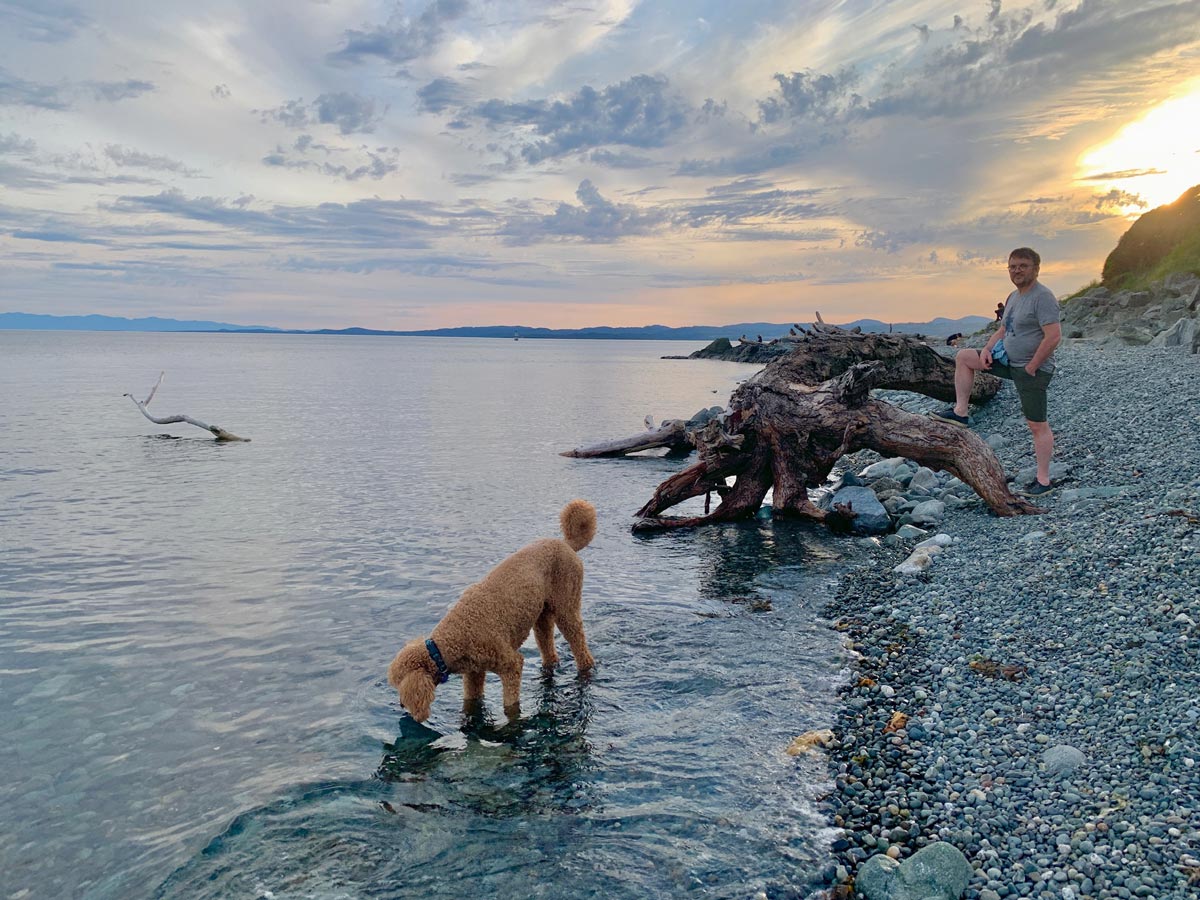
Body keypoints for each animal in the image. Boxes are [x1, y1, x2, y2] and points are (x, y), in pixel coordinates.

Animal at [386, 501, 597, 724]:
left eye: (399, 686)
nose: (401, 705)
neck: (453, 638)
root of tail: (567, 544)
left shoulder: (510, 664)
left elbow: (510, 704)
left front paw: (513, 720)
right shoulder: (474, 672)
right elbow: (471, 700)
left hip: (566, 605)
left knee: (579, 644)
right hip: (541, 615)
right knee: (548, 646)